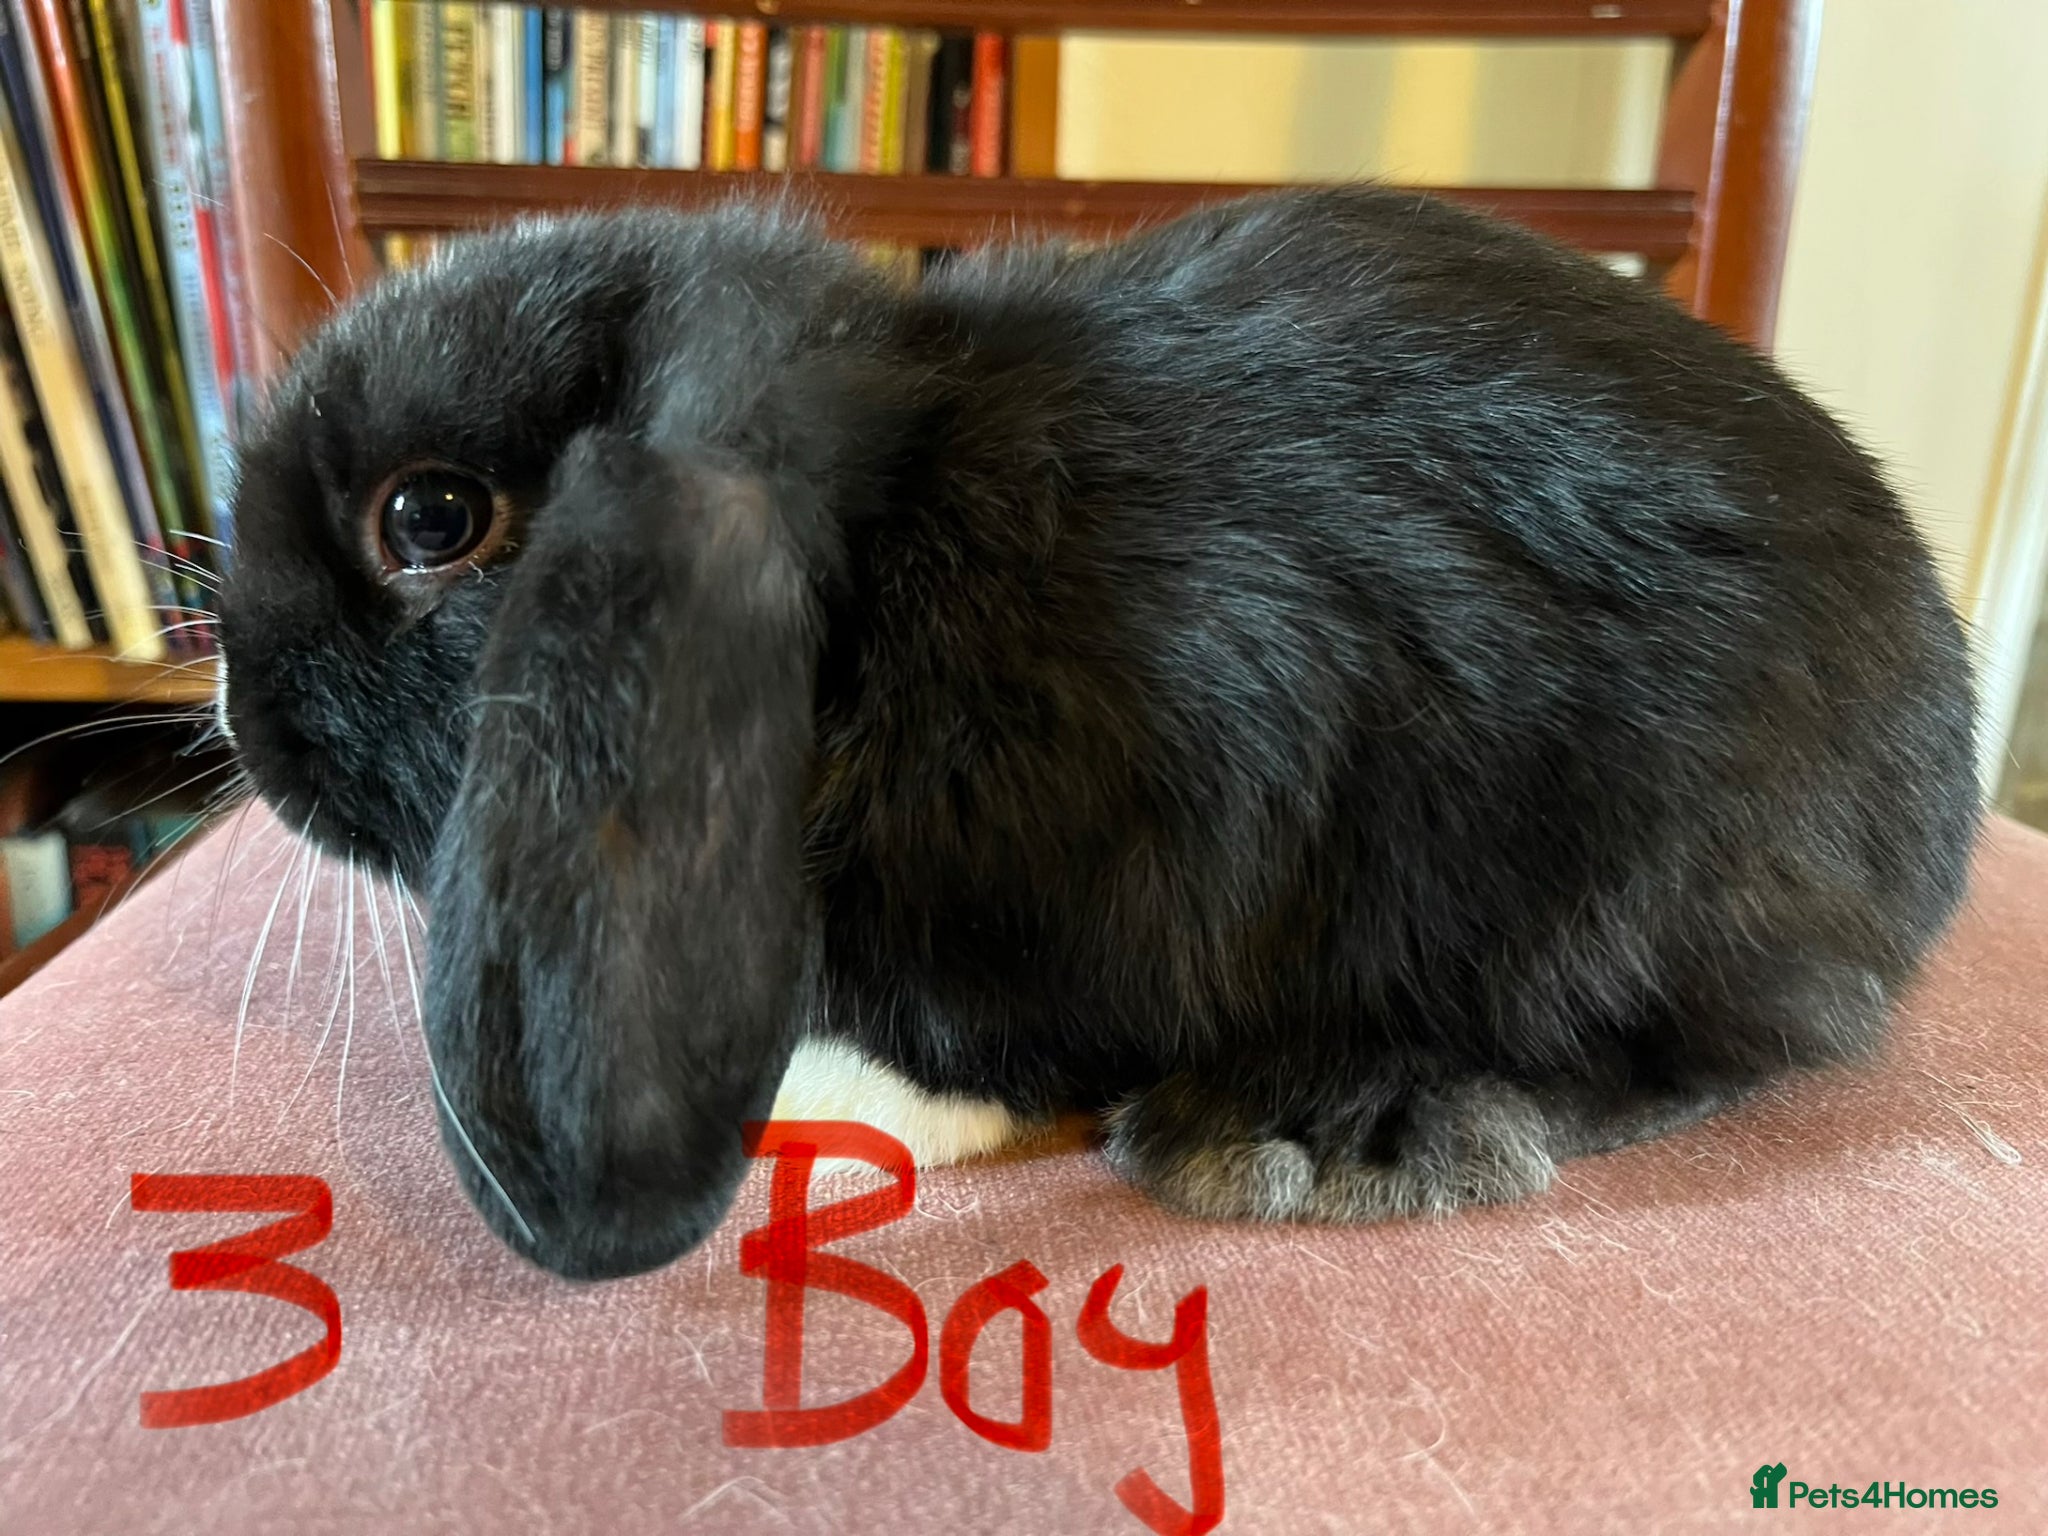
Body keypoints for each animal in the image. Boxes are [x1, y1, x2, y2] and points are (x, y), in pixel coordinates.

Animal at [219, 187, 1980, 1282]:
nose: (243, 713)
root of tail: (1947, 796)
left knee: (1689, 1051)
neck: (873, 591)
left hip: (1633, 882)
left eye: (431, 519)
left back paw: (1323, 1128)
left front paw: (839, 1108)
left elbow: (998, 1046)